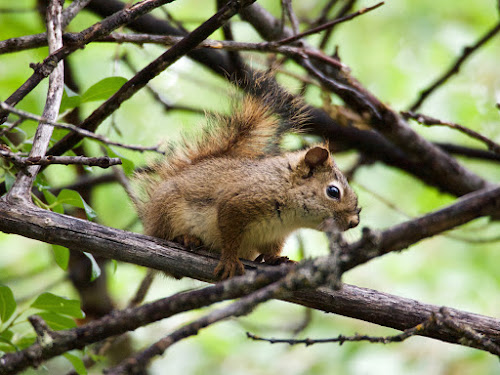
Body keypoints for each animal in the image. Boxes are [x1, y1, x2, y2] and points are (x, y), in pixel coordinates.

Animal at [135, 74, 362, 280]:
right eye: (333, 191)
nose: (354, 222)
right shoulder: (238, 203)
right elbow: (230, 236)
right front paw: (229, 260)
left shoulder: (276, 235)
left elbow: (271, 250)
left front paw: (277, 260)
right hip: (167, 210)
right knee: (162, 235)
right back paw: (185, 238)